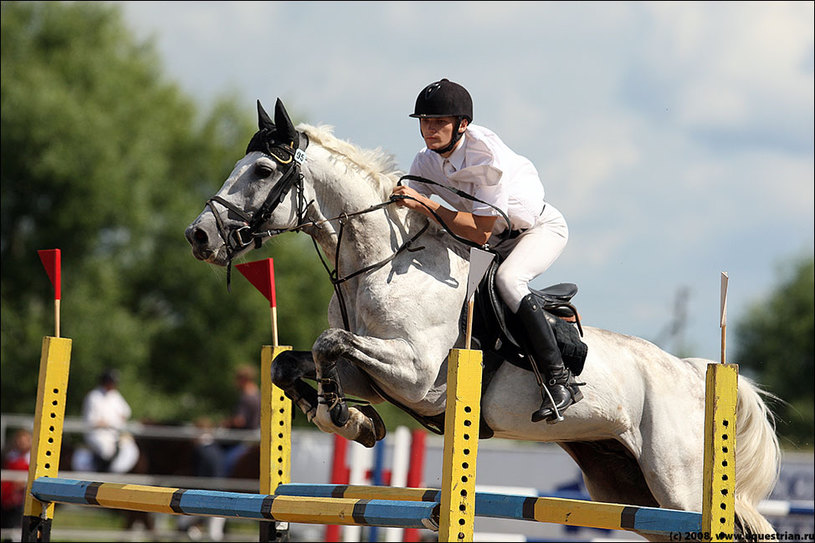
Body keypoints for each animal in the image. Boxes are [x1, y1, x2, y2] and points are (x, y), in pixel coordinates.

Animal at [186, 99, 784, 540]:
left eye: (263, 170)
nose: (199, 236)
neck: (381, 263)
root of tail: (695, 371)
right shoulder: (377, 377)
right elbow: (291, 362)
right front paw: (354, 421)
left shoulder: (417, 375)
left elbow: (329, 342)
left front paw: (344, 418)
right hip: (626, 484)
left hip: (677, 480)